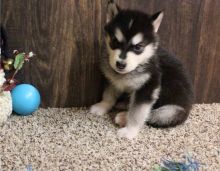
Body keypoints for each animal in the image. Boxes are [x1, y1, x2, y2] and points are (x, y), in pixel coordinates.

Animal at [89, 1, 192, 139]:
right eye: (115, 41)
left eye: (138, 47)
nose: (120, 64)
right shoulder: (113, 80)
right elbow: (108, 94)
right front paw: (103, 106)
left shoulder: (147, 87)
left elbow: (137, 113)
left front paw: (130, 131)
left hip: (171, 112)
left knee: (153, 115)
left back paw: (123, 116)